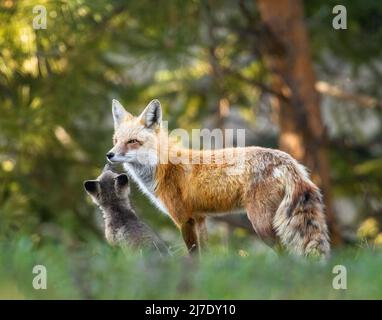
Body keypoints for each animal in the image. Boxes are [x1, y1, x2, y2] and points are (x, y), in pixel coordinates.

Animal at [106, 99, 330, 256]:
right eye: (116, 140)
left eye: (132, 141)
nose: (109, 154)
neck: (164, 168)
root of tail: (288, 161)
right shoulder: (200, 218)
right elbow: (205, 255)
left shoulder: (184, 219)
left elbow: (193, 254)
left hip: (263, 224)